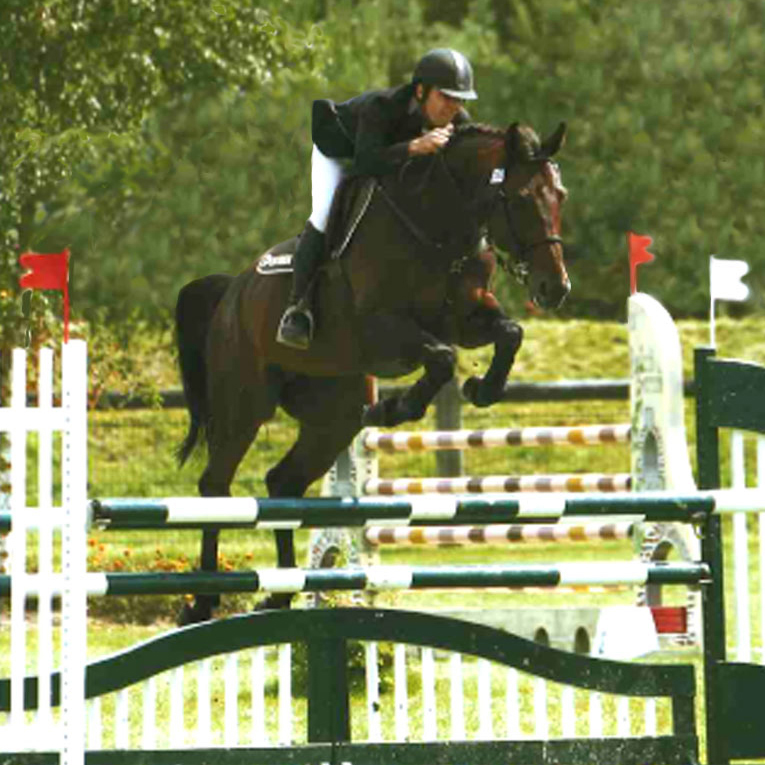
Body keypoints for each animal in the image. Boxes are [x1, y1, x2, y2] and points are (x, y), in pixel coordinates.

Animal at [173, 121, 568, 620]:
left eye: (560, 196)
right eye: (519, 199)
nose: (555, 288)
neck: (439, 225)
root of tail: (231, 292)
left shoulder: (466, 318)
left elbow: (509, 333)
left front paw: (482, 388)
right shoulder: (381, 326)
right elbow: (441, 357)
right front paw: (397, 408)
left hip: (334, 414)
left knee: (283, 481)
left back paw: (280, 593)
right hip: (244, 402)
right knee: (215, 485)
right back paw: (203, 601)